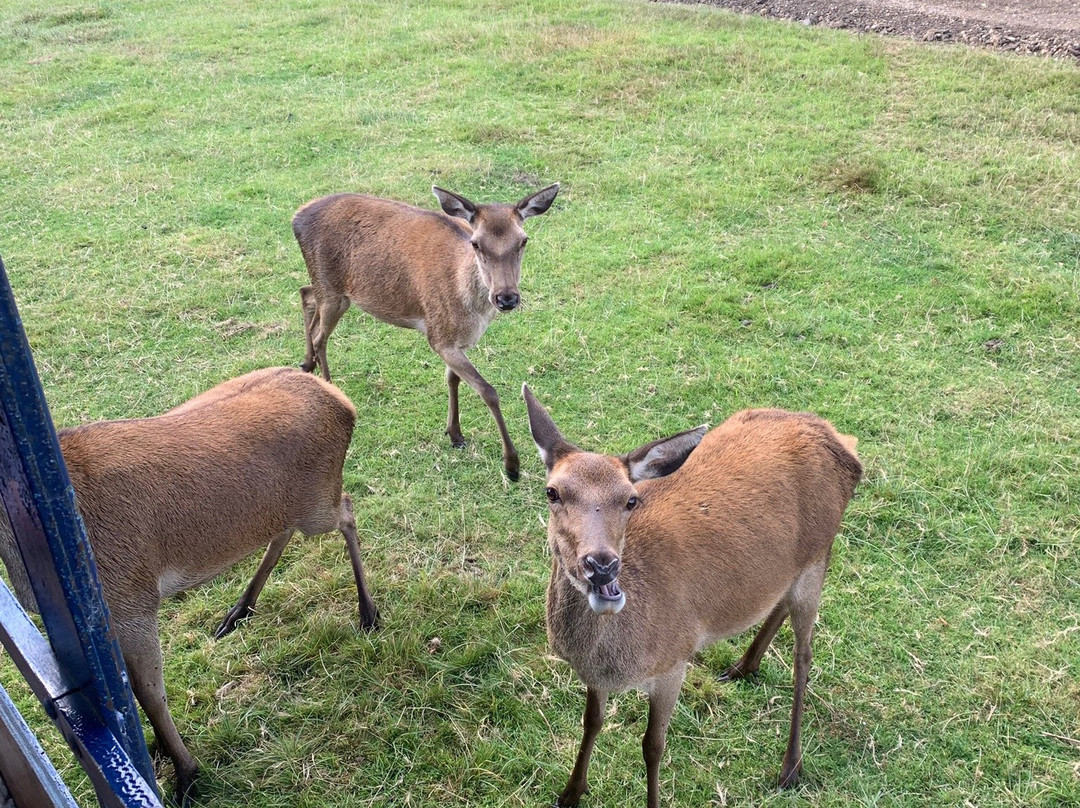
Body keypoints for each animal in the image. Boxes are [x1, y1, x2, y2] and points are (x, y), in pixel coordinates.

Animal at [0, 367, 379, 806]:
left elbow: (149, 694)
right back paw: (239, 611)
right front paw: (163, 753)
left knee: (348, 509)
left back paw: (368, 613)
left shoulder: (133, 600)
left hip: (318, 503)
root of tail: (340, 400)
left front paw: (186, 774)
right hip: (288, 507)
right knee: (284, 531)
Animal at [292, 182, 560, 482]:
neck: (471, 310)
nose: (506, 298)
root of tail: (296, 216)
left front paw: (455, 434)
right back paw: (330, 388)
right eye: (476, 243)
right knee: (320, 335)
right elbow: (487, 390)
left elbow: (452, 380)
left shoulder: (455, 342)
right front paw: (512, 465)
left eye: (523, 241)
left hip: (328, 289)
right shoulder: (438, 335)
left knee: (305, 295)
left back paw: (306, 363)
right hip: (332, 287)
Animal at [522, 385, 862, 808]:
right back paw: (743, 666)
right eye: (552, 492)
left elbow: (653, 745)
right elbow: (591, 722)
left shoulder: (675, 658)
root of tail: (842, 443)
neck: (616, 658)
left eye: (630, 499)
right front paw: (571, 791)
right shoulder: (596, 675)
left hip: (819, 555)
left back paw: (790, 767)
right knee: (778, 601)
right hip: (789, 569)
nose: (602, 565)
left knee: (804, 655)